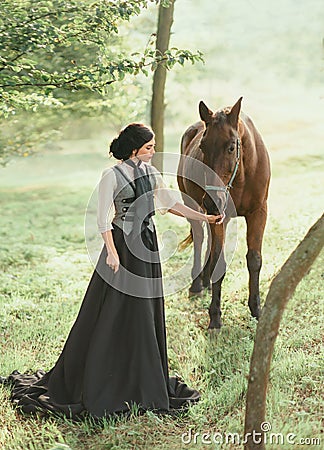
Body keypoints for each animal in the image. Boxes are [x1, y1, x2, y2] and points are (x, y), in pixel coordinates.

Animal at [177, 97, 270, 330]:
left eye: (230, 147)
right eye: (202, 146)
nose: (211, 201)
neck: (243, 174)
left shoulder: (259, 213)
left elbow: (254, 259)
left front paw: (256, 309)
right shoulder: (218, 216)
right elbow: (219, 260)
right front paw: (215, 317)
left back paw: (206, 280)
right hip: (194, 207)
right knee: (200, 239)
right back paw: (197, 283)